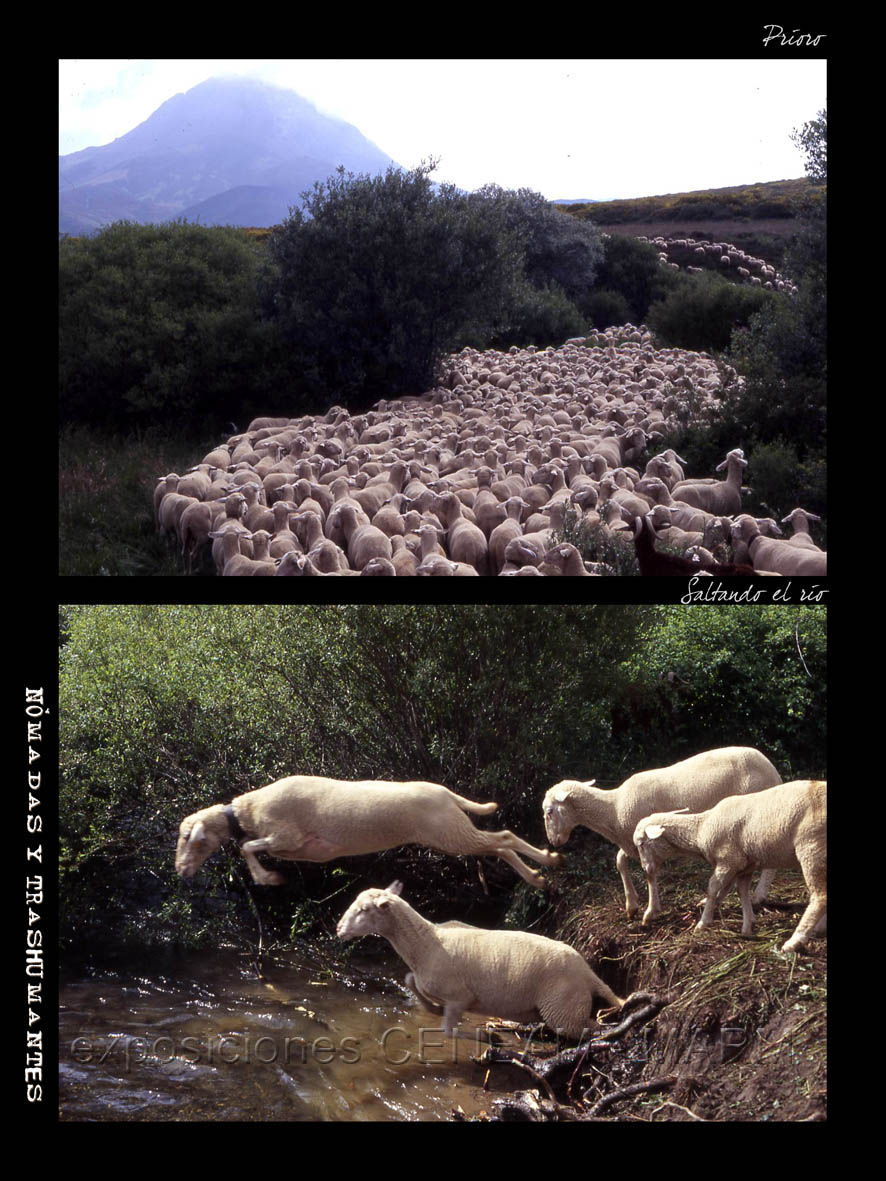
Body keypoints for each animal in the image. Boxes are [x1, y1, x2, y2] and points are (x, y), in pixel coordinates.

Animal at [174, 774, 562, 888]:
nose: (180, 870)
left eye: (187, 839)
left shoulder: (287, 836)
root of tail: (444, 792)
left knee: (503, 838)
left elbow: (246, 847)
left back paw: (546, 864)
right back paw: (538, 873)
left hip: (450, 834)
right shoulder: (298, 849)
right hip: (452, 835)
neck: (248, 810)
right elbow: (251, 847)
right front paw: (269, 876)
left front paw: (266, 878)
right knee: (497, 846)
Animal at [335, 883, 628, 1039]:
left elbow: (449, 1032)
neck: (426, 942)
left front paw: (487, 1037)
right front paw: (430, 1007)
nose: (338, 929)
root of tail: (587, 971)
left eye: (364, 910)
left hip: (564, 1010)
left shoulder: (459, 997)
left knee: (590, 1029)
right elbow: (409, 981)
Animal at [541, 746, 784, 921]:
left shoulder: (647, 841)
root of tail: (773, 771)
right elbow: (620, 861)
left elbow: (649, 873)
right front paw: (631, 905)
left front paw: (651, 911)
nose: (554, 842)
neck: (613, 809)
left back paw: (758, 895)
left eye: (549, 811)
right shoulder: (631, 842)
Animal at [633, 779, 831, 954]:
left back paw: (795, 940)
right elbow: (741, 891)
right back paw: (819, 929)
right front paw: (748, 925)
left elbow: (713, 888)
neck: (700, 829)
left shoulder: (728, 860)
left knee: (820, 896)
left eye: (641, 844)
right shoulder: (744, 865)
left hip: (812, 848)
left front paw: (703, 923)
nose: (645, 869)